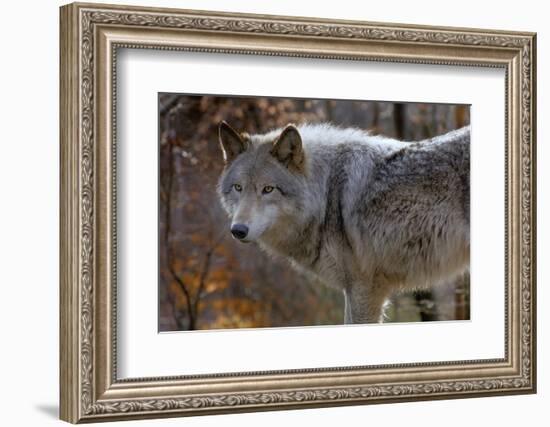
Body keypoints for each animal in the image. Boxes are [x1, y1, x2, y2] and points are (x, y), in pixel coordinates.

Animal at [216, 120, 470, 324]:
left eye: (268, 189)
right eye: (238, 187)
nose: (238, 230)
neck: (326, 194)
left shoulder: (364, 289)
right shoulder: (353, 289)